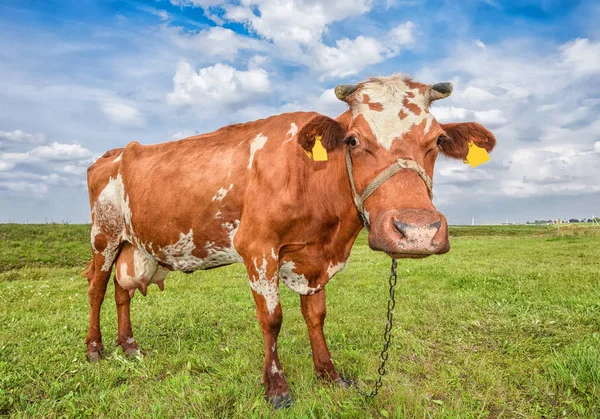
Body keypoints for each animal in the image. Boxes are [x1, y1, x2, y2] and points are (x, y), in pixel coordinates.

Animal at [84, 74, 496, 408]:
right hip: (104, 236)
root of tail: (115, 152)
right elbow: (272, 319)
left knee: (122, 290)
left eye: (437, 139)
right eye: (353, 140)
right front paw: (276, 388)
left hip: (133, 244)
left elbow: (316, 316)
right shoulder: (257, 249)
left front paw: (329, 374)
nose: (417, 231)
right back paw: (95, 349)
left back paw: (129, 346)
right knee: (97, 288)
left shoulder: (315, 260)